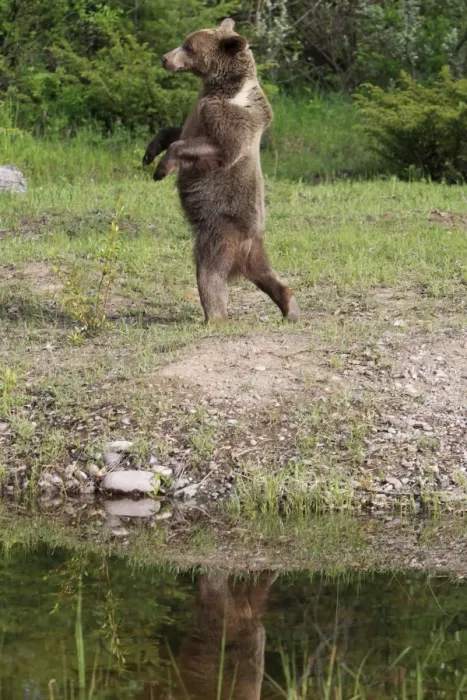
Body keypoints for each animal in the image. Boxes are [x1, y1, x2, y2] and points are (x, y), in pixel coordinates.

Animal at [143, 18, 300, 325]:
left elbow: (217, 148)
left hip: (220, 231)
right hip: (253, 250)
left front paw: (162, 169)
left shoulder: (229, 118)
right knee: (267, 274)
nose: (164, 58)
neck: (222, 89)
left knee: (210, 271)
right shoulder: (197, 112)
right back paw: (291, 307)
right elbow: (174, 131)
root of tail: (247, 244)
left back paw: (214, 317)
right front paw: (149, 153)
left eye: (189, 47)